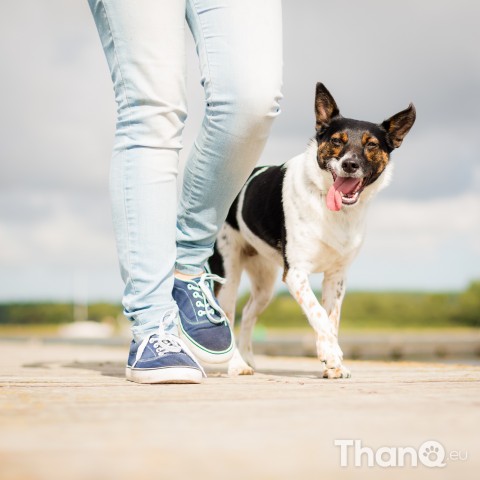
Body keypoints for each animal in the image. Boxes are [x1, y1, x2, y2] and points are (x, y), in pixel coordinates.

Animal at [210, 84, 416, 380]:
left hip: (264, 281)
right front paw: (331, 354)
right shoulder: (296, 273)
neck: (332, 207)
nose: (350, 165)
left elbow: (331, 318)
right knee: (227, 314)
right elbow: (319, 315)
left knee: (248, 312)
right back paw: (237, 364)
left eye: (371, 145)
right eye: (337, 141)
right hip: (228, 273)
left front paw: (332, 363)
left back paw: (248, 357)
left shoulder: (336, 277)